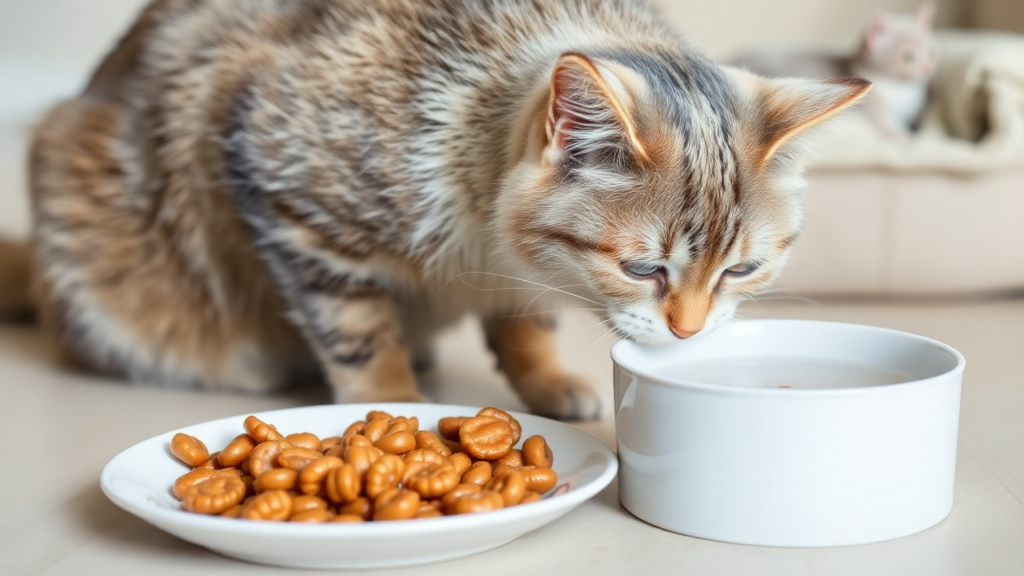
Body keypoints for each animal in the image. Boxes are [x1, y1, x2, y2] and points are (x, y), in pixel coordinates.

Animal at [12, 0, 868, 416]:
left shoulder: (524, 277)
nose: (688, 331)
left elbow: (526, 326)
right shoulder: (288, 189)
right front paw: (389, 404)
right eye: (641, 268)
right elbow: (357, 332)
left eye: (741, 271)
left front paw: (545, 377)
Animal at [729, 2, 937, 139]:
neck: (901, 90)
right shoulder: (872, 106)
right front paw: (901, 135)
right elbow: (884, 123)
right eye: (908, 57)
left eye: (931, 53)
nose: (927, 68)